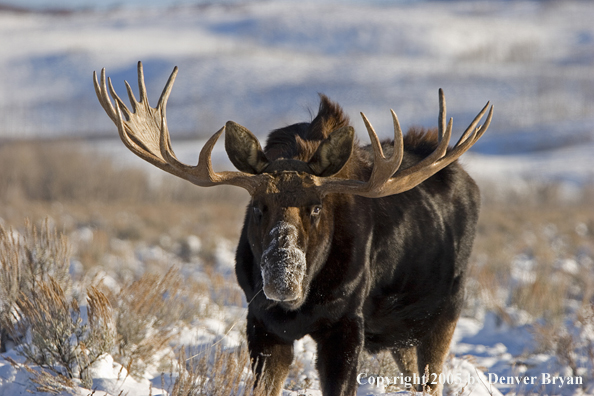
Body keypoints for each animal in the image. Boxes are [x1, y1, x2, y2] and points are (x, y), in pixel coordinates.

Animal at [92, 61, 490, 392]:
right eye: (257, 207)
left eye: (316, 208)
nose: (282, 281)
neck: (302, 304)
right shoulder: (261, 322)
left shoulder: (346, 324)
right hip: (402, 336)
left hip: (443, 315)